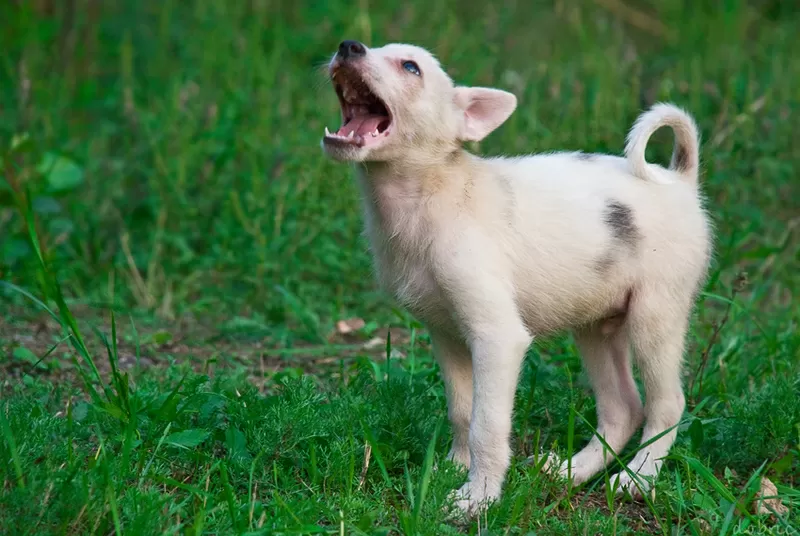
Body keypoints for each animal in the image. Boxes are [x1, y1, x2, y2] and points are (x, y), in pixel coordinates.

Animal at [318, 40, 712, 516]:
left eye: (411, 67)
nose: (348, 46)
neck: (430, 197)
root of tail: (679, 179)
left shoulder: (497, 338)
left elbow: (486, 425)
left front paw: (478, 498)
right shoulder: (446, 335)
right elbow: (462, 413)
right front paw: (453, 469)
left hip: (656, 318)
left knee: (665, 404)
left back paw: (639, 477)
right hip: (597, 327)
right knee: (623, 409)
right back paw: (571, 471)